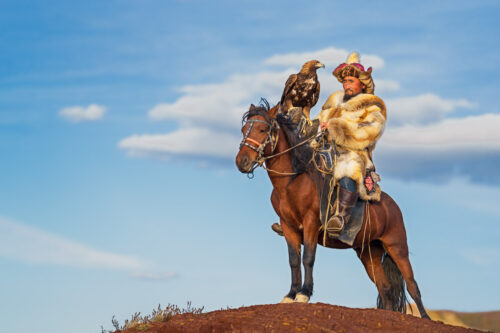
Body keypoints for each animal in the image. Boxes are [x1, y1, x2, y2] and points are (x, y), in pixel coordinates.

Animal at [234, 100, 430, 318]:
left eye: (262, 129)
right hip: (369, 252)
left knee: (413, 286)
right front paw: (290, 294)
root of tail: (391, 206)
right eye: (243, 129)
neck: (293, 181)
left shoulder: (310, 223)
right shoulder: (288, 226)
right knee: (385, 288)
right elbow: (294, 260)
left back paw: (425, 317)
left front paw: (304, 293)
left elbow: (308, 258)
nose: (241, 161)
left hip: (397, 246)